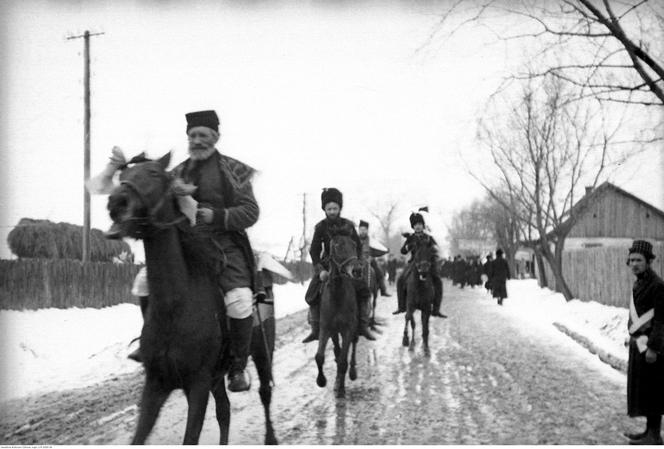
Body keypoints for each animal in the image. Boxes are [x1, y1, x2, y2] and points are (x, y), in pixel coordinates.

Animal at [107, 154, 278, 444]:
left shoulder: (197, 385)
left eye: (153, 173)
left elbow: (191, 436)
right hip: (216, 378)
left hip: (261, 354)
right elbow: (140, 435)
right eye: (123, 175)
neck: (175, 308)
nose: (116, 203)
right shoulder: (156, 384)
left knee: (264, 394)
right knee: (224, 410)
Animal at [316, 233, 360, 398]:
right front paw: (321, 381)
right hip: (334, 331)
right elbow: (320, 357)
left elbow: (343, 362)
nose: (357, 270)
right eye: (337, 246)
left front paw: (340, 389)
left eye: (354, 245)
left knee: (353, 346)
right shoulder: (326, 328)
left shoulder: (348, 328)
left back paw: (352, 372)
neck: (337, 294)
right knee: (337, 351)